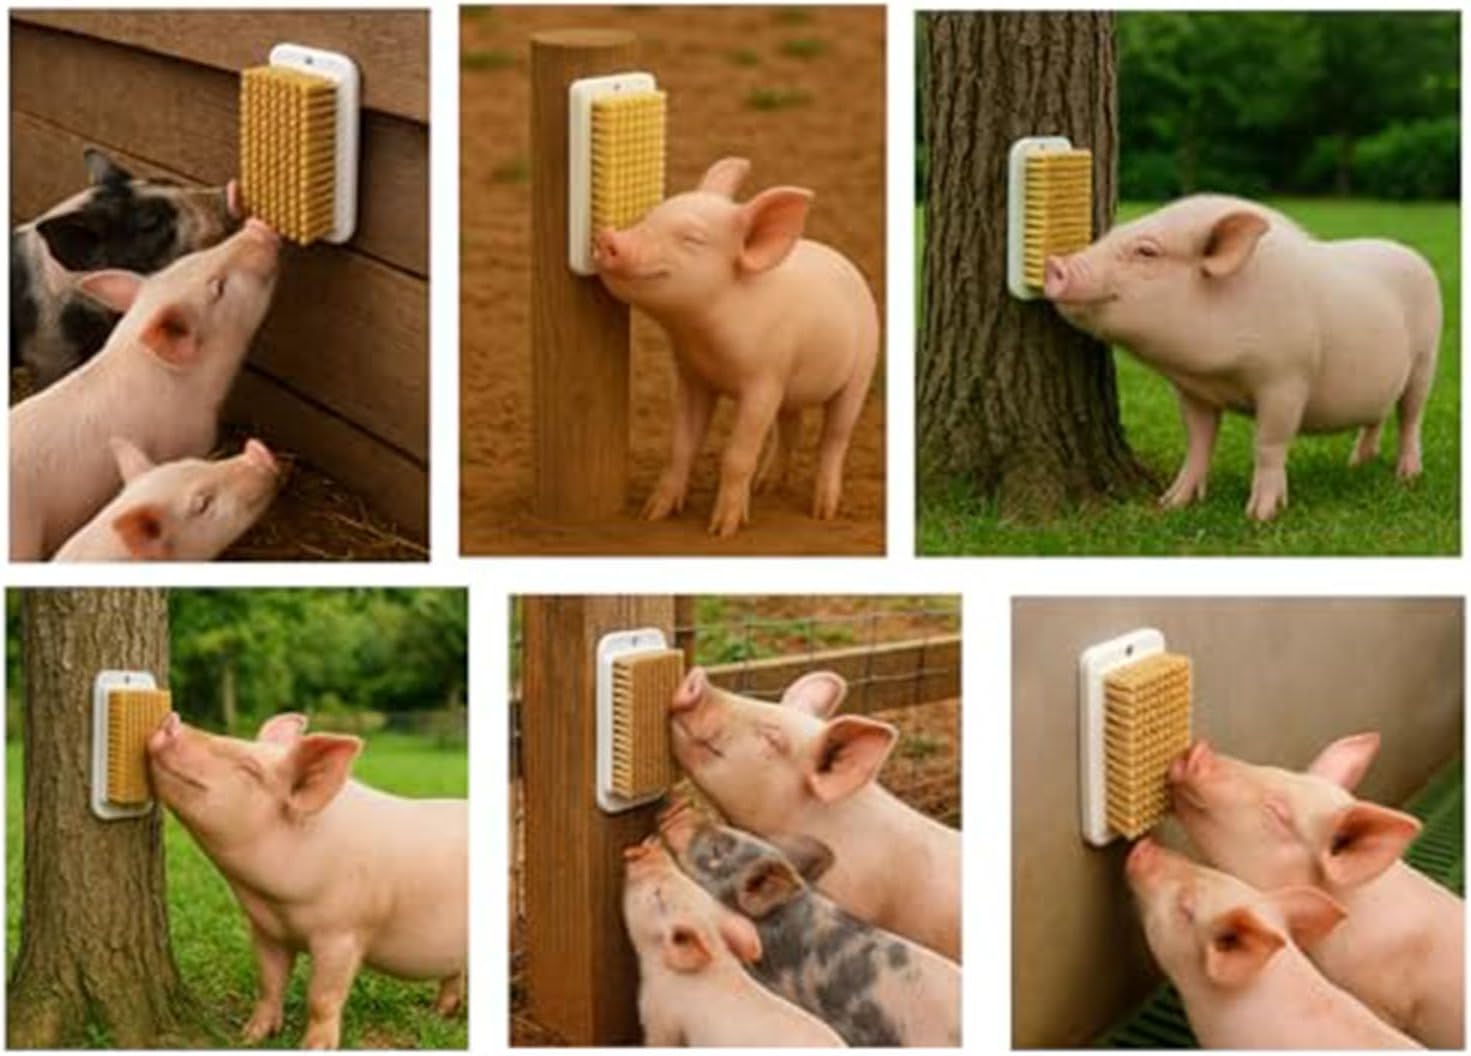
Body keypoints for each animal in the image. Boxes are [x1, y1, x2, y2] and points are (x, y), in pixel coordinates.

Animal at [147, 712, 467, 1049]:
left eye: (250, 769)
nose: (173, 719)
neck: (278, 904)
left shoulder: (343, 932)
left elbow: (322, 997)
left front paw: (313, 1047)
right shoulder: (268, 930)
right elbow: (270, 982)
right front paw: (250, 1037)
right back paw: (440, 1013)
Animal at [593, 156, 879, 536]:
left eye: (693, 238)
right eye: (651, 216)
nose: (609, 236)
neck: (703, 338)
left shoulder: (765, 381)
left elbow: (738, 455)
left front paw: (722, 530)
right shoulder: (694, 377)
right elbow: (681, 445)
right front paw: (653, 515)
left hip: (862, 369)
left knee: (834, 437)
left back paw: (823, 512)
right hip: (792, 388)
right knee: (791, 428)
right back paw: (766, 487)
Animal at [1043, 195, 1442, 520]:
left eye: (1146, 252)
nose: (1054, 265)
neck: (1219, 369)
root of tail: (1413, 254)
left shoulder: (1287, 378)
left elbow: (1268, 443)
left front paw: (1260, 516)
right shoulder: (1192, 391)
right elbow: (1198, 441)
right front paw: (1172, 504)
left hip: (1426, 358)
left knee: (1411, 417)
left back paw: (1407, 476)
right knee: (1376, 417)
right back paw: (1357, 464)